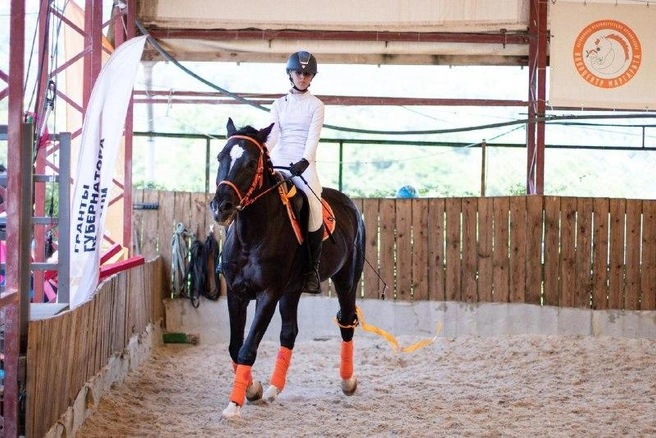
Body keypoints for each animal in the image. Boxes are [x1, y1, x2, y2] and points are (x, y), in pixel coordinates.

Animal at [210, 118, 366, 418]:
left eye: (250, 163)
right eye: (221, 156)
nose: (221, 206)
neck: (251, 235)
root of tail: (349, 205)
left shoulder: (268, 294)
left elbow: (248, 348)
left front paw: (234, 406)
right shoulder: (236, 294)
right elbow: (235, 346)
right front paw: (253, 390)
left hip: (346, 280)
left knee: (347, 321)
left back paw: (348, 382)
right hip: (292, 290)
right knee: (289, 333)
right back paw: (273, 389)